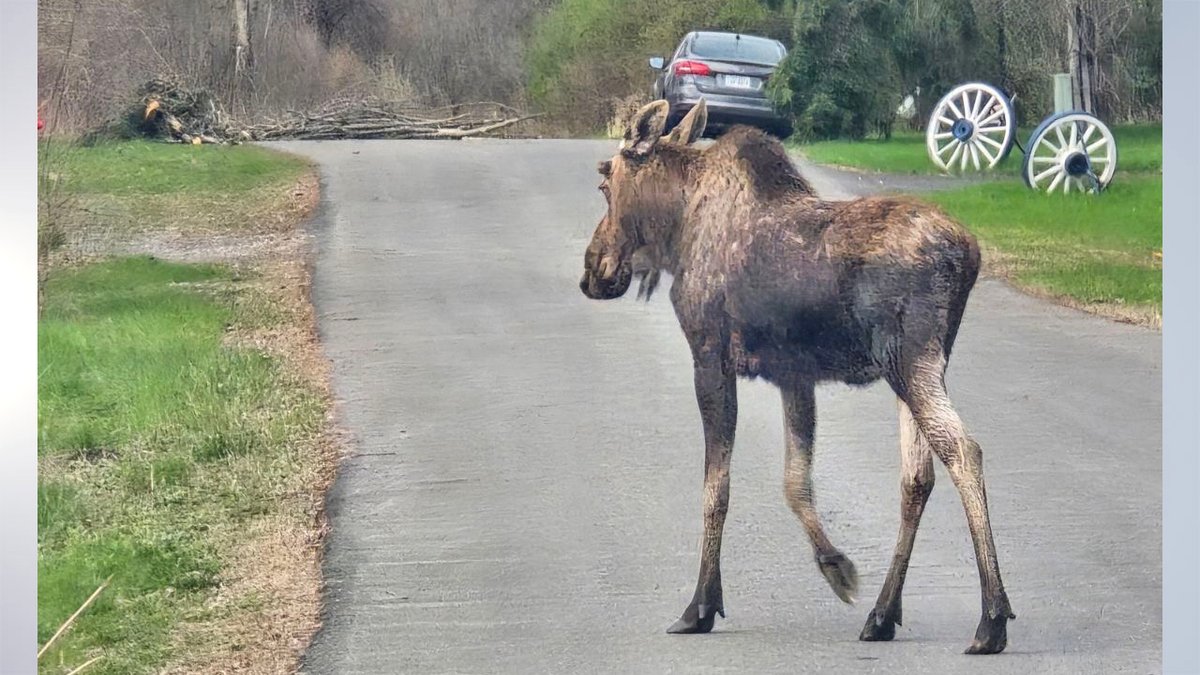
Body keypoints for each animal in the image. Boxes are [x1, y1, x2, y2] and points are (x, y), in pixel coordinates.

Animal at [578, 99, 1012, 653]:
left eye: (604, 181)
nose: (592, 272)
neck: (678, 232)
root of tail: (969, 254)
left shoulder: (709, 356)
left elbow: (716, 488)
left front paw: (700, 605)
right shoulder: (794, 375)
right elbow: (794, 482)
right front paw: (835, 565)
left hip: (910, 361)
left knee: (964, 451)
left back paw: (992, 618)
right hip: (918, 364)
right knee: (917, 475)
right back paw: (882, 613)